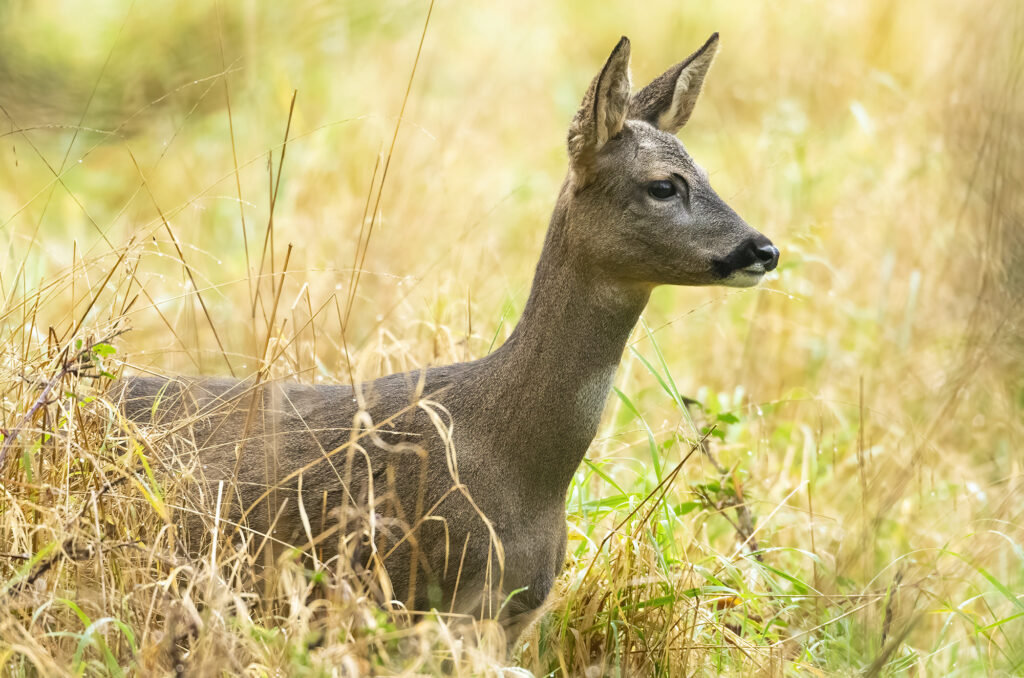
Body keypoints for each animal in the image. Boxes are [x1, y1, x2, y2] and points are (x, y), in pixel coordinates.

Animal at [117, 34, 774, 647]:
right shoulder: (410, 596)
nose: (763, 248)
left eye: (707, 174)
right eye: (664, 185)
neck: (512, 463)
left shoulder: (511, 615)